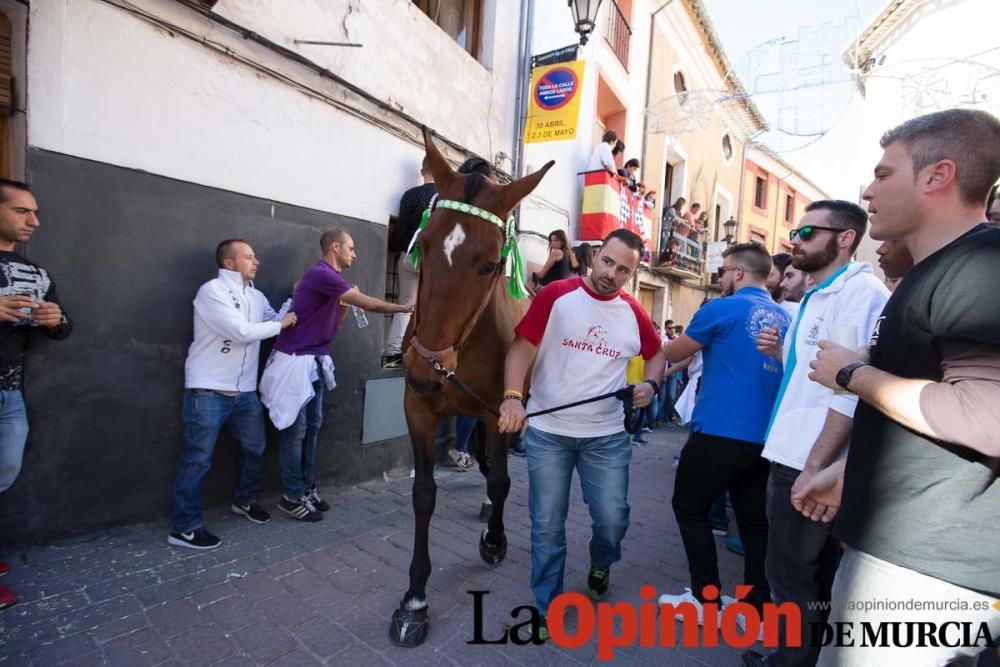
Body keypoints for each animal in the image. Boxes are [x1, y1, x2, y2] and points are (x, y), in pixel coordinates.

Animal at [386, 130, 552, 648]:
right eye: (424, 244)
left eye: (490, 265)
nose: (424, 367)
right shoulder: (418, 407)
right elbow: (424, 495)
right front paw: (414, 600)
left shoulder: (499, 412)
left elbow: (501, 480)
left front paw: (495, 541)